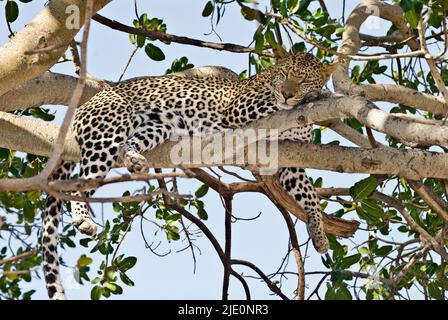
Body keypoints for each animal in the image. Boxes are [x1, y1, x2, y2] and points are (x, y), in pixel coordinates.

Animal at [42, 51, 336, 298]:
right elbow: (271, 103)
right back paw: (82, 217)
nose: (287, 94)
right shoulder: (240, 106)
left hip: (155, 128)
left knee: (127, 146)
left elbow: (310, 195)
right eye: (285, 75)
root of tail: (85, 104)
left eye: (304, 79)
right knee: (79, 183)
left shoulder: (290, 161)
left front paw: (319, 234)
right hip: (107, 131)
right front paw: (318, 97)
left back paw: (134, 159)